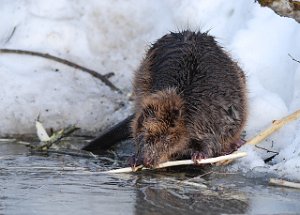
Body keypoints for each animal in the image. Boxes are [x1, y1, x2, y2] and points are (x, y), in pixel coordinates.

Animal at [82, 30, 246, 168]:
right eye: (143, 135)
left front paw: (199, 155)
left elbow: (211, 140)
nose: (146, 161)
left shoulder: (210, 116)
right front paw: (133, 159)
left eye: (166, 138)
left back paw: (236, 144)